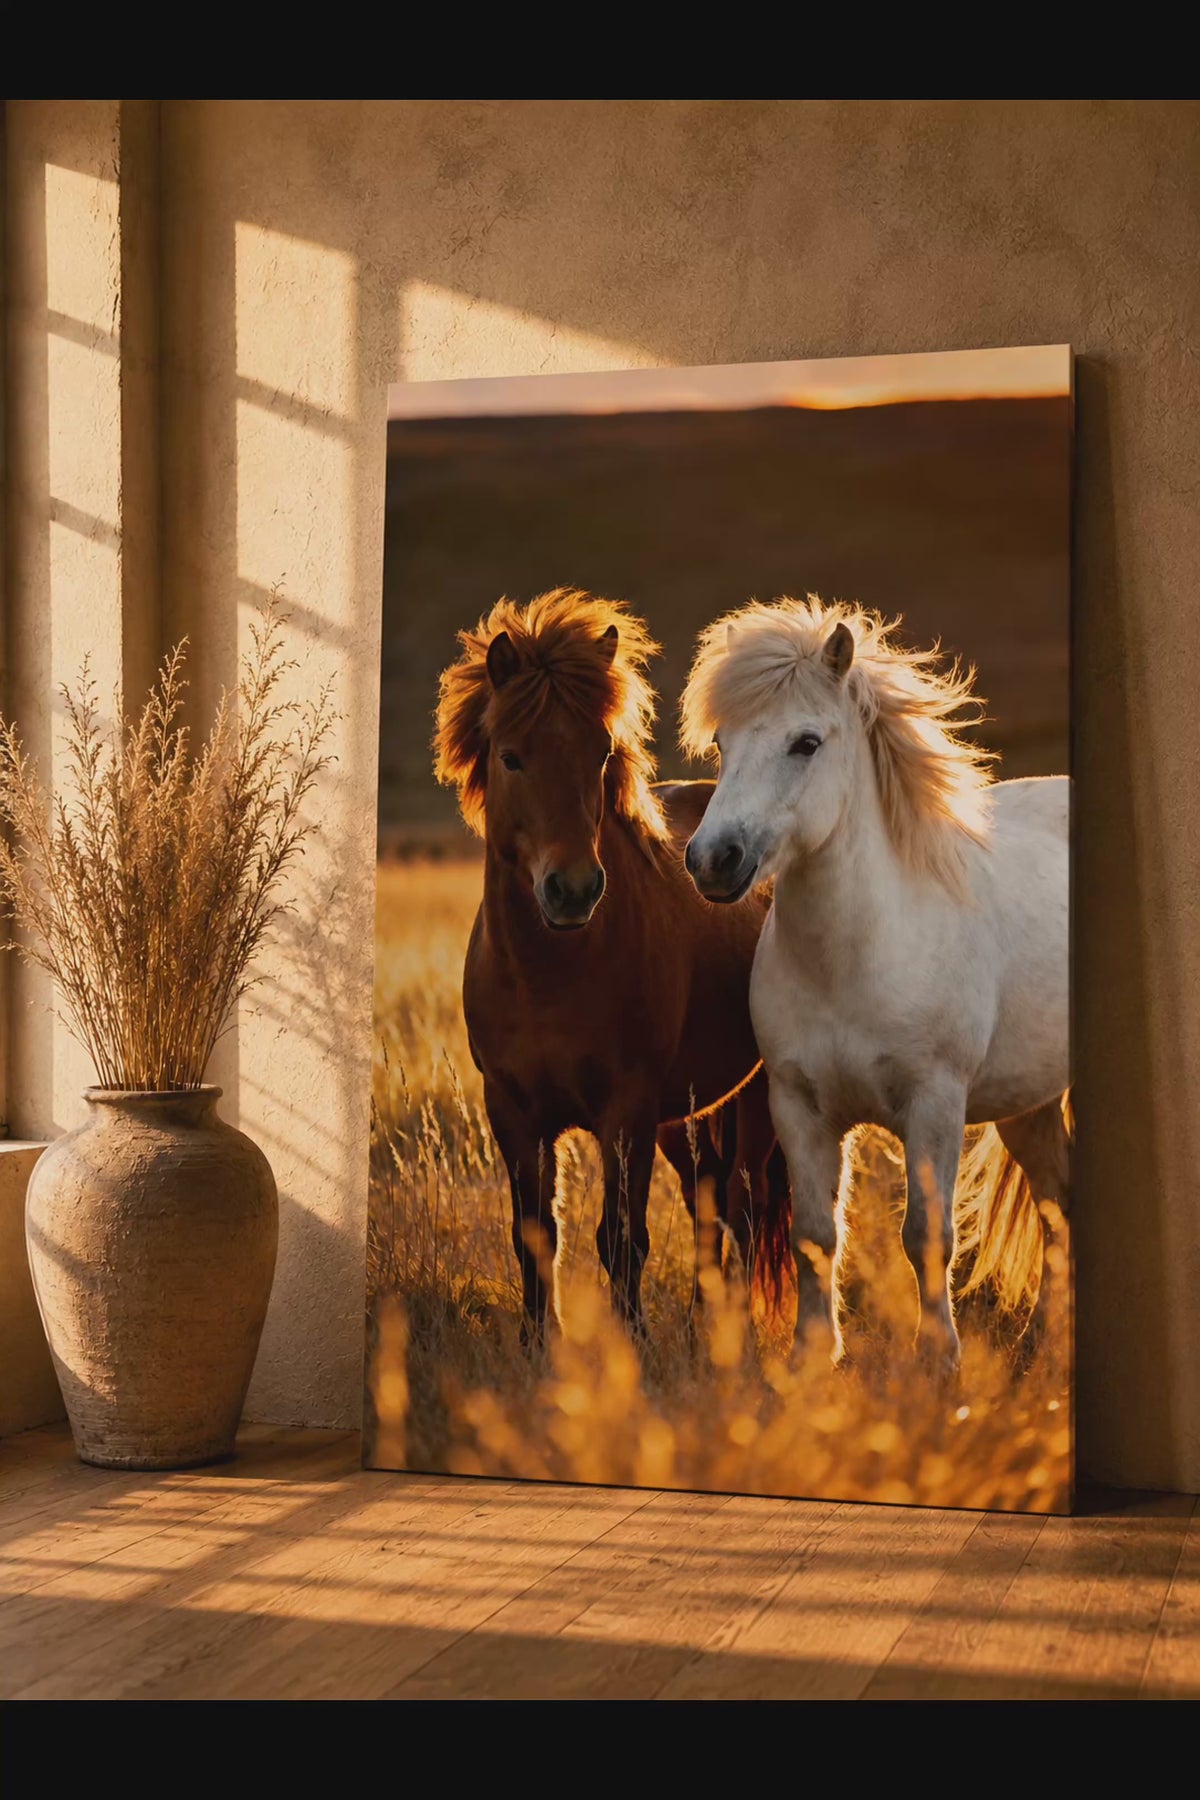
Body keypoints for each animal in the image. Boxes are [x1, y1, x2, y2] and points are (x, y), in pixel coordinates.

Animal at [434, 588, 790, 1346]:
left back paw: (739, 1336)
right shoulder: (514, 1112)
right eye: (510, 757)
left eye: (600, 753)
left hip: (751, 1097)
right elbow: (535, 1235)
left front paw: (632, 1348)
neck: (549, 976)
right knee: (708, 1200)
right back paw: (704, 1326)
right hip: (685, 1115)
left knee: (744, 1204)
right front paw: (538, 1347)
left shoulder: (625, 1112)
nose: (572, 890)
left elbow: (620, 1238)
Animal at [679, 595, 1070, 1370]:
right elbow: (815, 1236)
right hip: (1030, 1104)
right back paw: (1042, 1347)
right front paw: (811, 1358)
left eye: (806, 742)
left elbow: (927, 1235)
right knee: (1055, 1206)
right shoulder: (799, 1107)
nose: (712, 860)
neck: (855, 961)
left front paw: (938, 1359)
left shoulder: (934, 1103)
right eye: (721, 746)